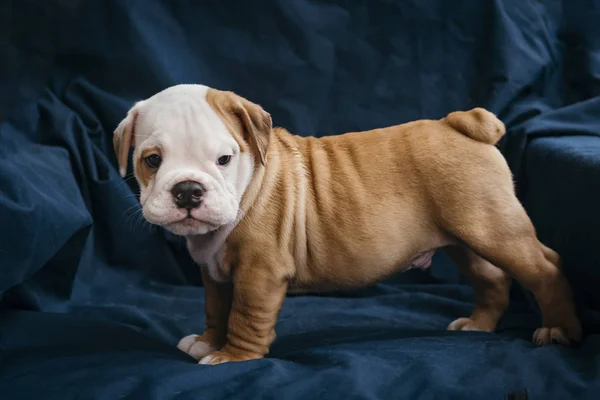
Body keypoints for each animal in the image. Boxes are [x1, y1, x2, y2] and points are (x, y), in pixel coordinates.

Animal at [112, 84, 580, 366]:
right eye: (151, 160)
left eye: (224, 159)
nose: (188, 191)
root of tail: (459, 124)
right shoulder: (216, 273)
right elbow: (216, 308)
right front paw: (209, 342)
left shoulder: (260, 273)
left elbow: (244, 316)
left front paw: (233, 357)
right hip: (467, 235)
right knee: (491, 277)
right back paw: (479, 325)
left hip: (494, 227)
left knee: (544, 267)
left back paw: (559, 330)